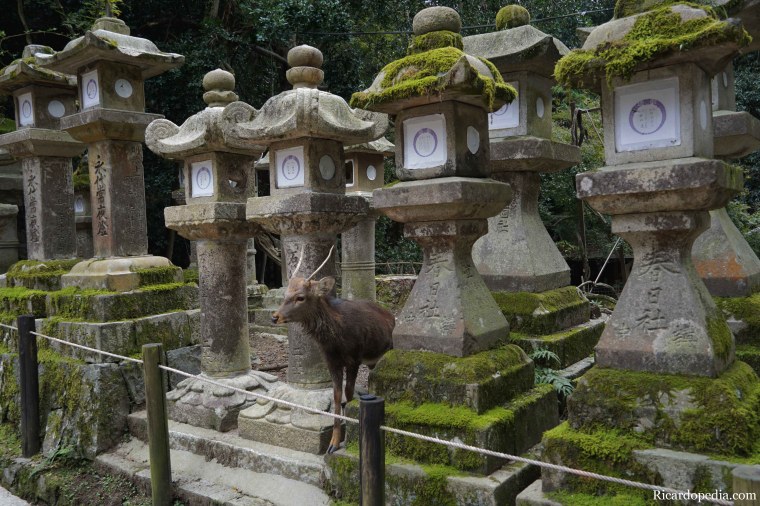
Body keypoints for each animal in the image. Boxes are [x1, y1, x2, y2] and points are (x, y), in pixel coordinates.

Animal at [271, 245, 395, 453]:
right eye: (285, 294)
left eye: (300, 297)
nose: (275, 317)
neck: (336, 340)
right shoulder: (331, 362)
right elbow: (337, 397)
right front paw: (333, 442)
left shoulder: (354, 358)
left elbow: (349, 393)